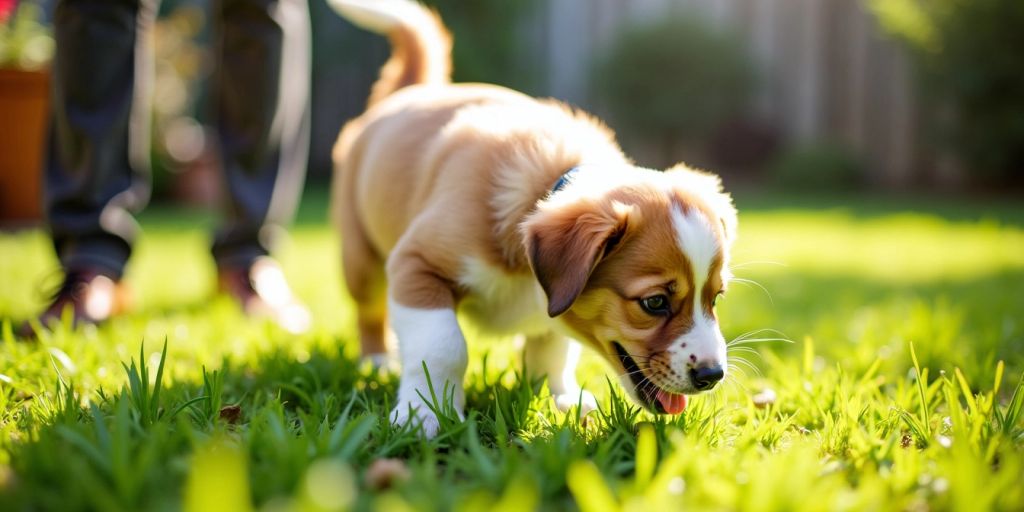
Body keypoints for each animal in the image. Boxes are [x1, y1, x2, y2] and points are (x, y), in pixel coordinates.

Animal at [327, 0, 737, 436]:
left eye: (716, 297)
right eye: (655, 302)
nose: (712, 375)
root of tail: (411, 91)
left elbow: (552, 351)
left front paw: (563, 401)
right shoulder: (417, 264)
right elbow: (443, 345)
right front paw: (425, 414)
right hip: (363, 262)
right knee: (370, 313)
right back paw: (377, 362)